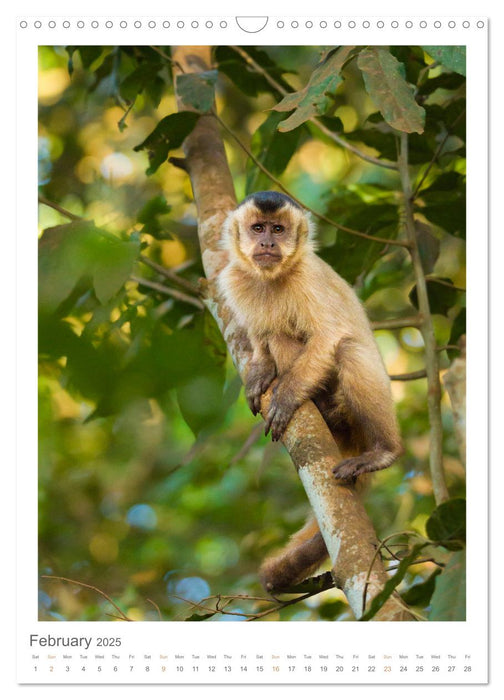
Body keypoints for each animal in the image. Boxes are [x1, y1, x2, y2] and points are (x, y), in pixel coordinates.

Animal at [217, 191, 402, 592]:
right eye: (258, 228)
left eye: (278, 230)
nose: (267, 244)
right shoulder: (232, 279)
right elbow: (260, 338)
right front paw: (260, 371)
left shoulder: (309, 277)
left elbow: (329, 337)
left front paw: (286, 398)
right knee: (277, 334)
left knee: (347, 349)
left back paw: (383, 450)